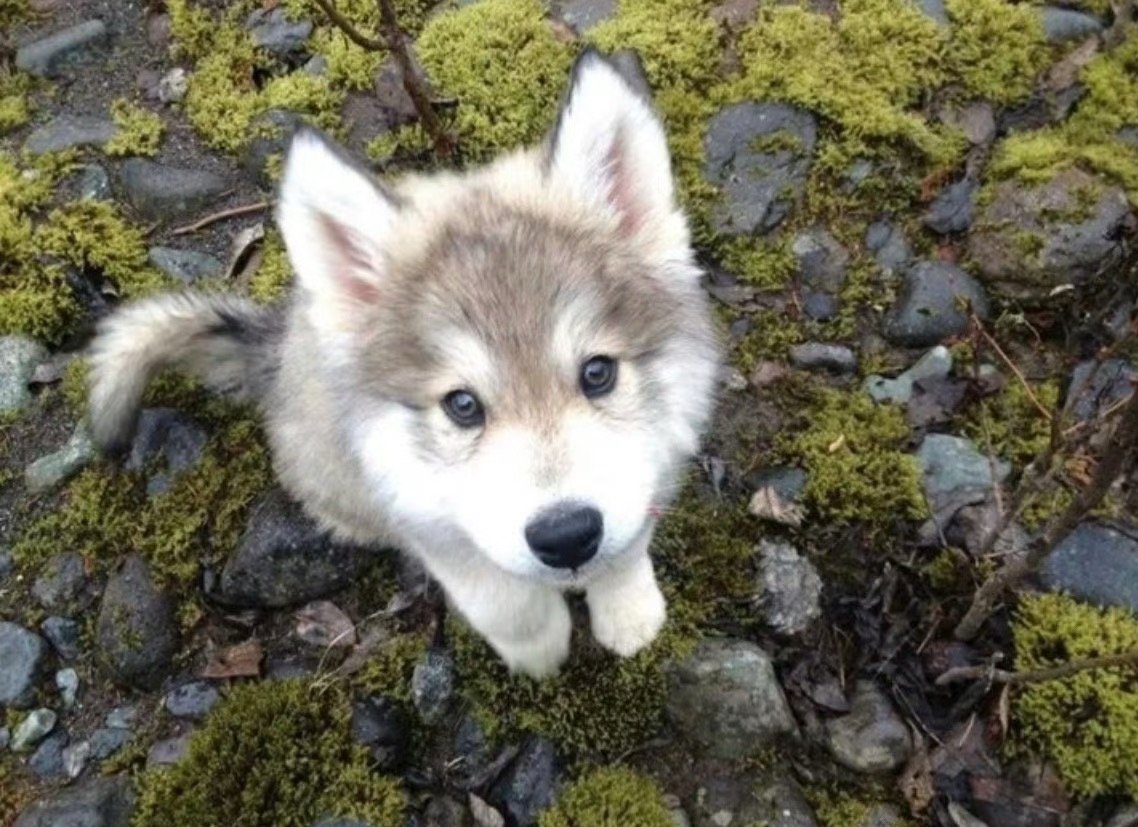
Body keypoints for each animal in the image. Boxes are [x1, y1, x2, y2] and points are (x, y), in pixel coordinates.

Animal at [85, 48, 720, 678]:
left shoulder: (652, 464)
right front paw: (539, 654)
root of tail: (279, 344)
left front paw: (630, 613)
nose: (566, 536)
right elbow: (506, 601)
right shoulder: (427, 518)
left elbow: (629, 543)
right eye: (462, 405)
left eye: (597, 372)